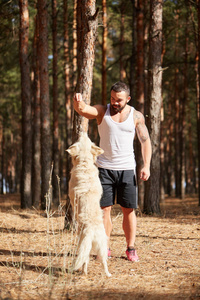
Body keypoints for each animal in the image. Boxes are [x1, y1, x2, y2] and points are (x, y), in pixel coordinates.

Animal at [67, 132, 111, 278]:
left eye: (85, 139)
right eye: (89, 139)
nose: (83, 132)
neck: (84, 162)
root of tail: (91, 230)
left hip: (82, 243)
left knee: (84, 260)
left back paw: (82, 271)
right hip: (101, 246)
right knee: (103, 261)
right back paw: (108, 274)